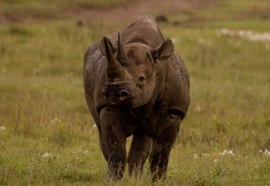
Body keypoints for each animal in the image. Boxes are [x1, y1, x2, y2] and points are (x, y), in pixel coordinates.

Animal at [83, 14, 190, 182]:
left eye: (141, 78)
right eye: (107, 76)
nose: (113, 93)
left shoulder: (174, 111)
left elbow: (162, 152)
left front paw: (159, 181)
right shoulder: (108, 106)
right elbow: (116, 148)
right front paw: (113, 181)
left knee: (142, 136)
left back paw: (136, 179)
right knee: (102, 131)